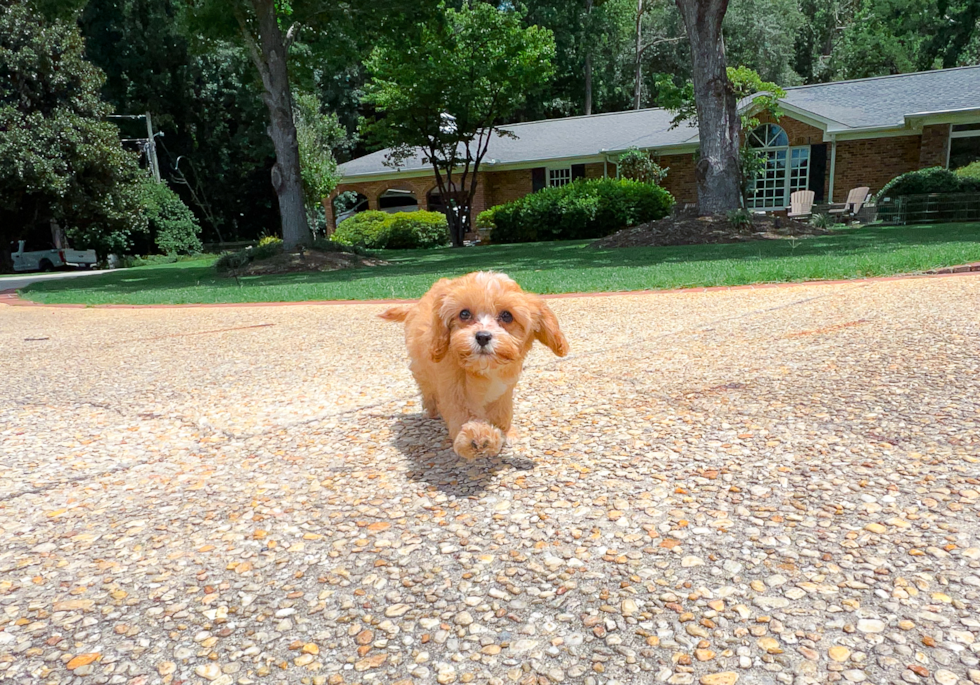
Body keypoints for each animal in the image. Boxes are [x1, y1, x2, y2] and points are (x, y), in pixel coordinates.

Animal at [380, 270, 572, 456]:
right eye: (464, 314)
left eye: (507, 316)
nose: (482, 336)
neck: (484, 368)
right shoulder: (452, 386)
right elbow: (462, 412)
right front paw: (477, 435)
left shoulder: (505, 387)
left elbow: (503, 410)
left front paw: (506, 431)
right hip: (422, 369)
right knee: (427, 388)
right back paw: (432, 410)